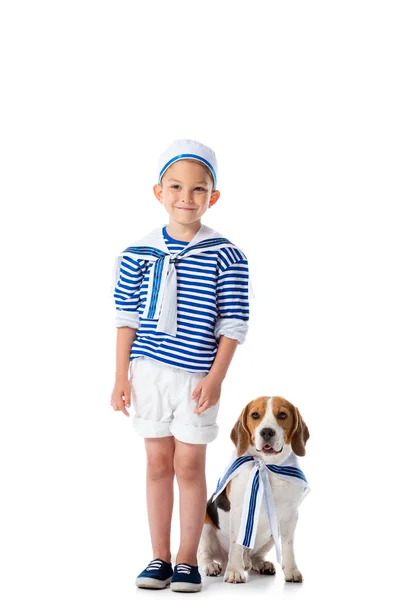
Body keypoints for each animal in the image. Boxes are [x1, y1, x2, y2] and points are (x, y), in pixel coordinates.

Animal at [197, 396, 310, 584]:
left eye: (282, 415)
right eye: (255, 415)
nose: (267, 432)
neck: (267, 464)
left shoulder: (290, 515)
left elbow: (288, 546)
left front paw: (292, 571)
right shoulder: (239, 511)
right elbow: (236, 543)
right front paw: (234, 572)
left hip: (272, 534)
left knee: (255, 556)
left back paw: (261, 564)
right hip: (205, 526)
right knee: (203, 555)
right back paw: (212, 566)